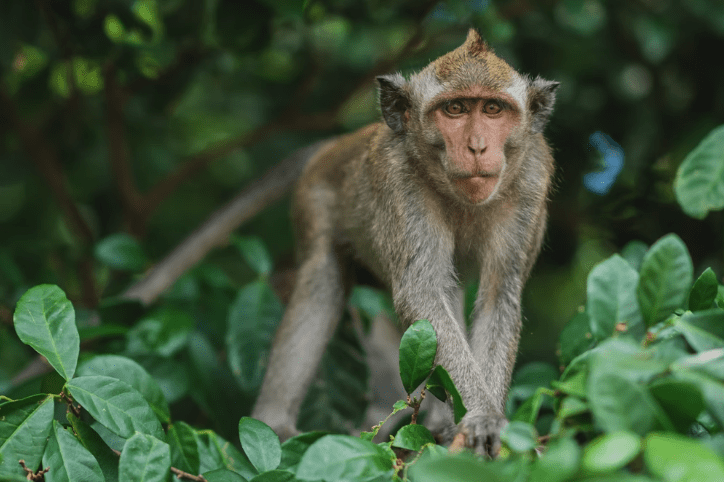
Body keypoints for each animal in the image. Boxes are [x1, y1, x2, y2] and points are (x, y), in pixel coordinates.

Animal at [252, 28, 564, 458]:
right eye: (455, 109)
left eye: (493, 109)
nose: (478, 146)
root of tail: (336, 144)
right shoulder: (399, 181)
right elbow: (422, 291)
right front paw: (482, 416)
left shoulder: (532, 177)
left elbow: (498, 295)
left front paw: (485, 422)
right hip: (313, 202)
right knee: (323, 283)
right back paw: (274, 424)